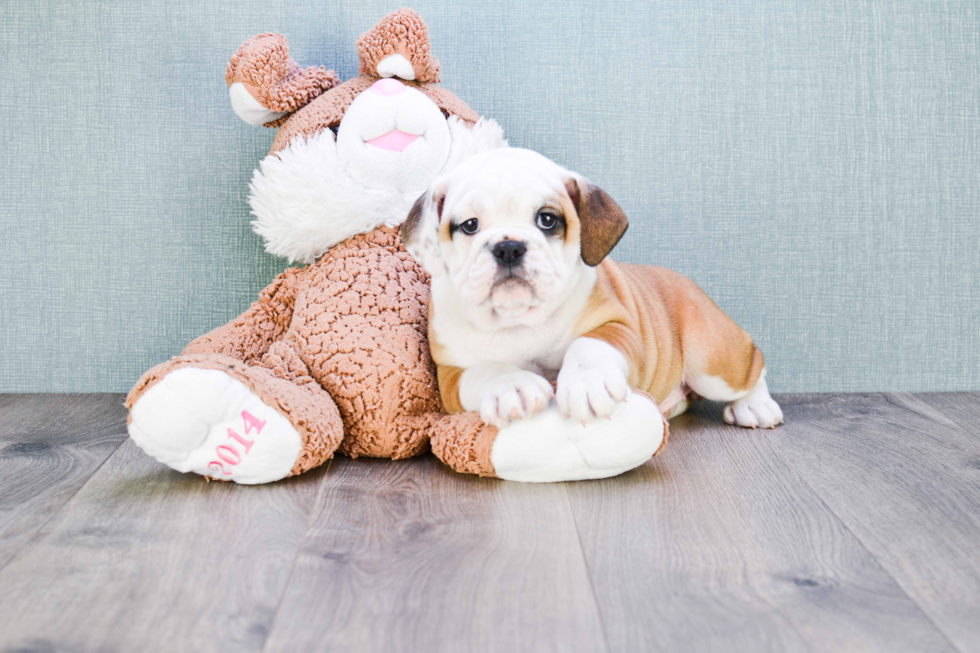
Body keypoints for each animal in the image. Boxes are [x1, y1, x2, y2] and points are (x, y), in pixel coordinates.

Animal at [402, 150, 784, 430]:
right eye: (469, 226)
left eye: (547, 220)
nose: (508, 247)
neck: (519, 319)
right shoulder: (452, 374)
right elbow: (487, 370)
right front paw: (513, 385)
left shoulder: (617, 325)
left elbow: (589, 345)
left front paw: (587, 383)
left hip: (712, 360)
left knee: (753, 365)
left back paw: (756, 406)